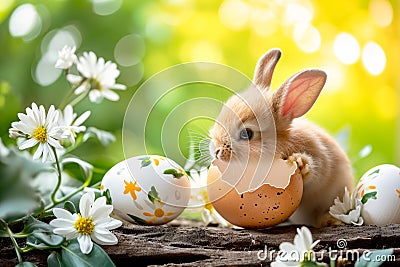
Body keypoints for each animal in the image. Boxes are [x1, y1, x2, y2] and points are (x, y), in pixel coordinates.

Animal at [209, 48, 354, 228]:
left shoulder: (319, 157)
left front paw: (299, 162)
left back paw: (329, 221)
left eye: (247, 134)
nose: (216, 151)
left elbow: (316, 171)